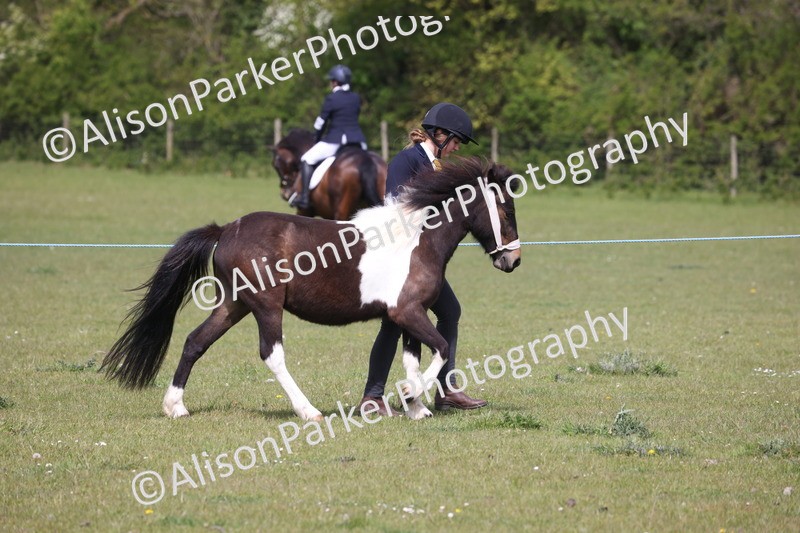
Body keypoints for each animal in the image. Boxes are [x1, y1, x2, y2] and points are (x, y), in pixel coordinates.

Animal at [101, 157, 521, 421]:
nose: (513, 260)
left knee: (194, 341)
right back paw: (309, 412)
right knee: (272, 355)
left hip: (234, 304)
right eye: (505, 210)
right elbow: (441, 348)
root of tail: (226, 230)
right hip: (266, 307)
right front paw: (410, 396)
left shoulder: (405, 316)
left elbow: (413, 358)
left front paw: (415, 406)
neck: (417, 239)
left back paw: (175, 407)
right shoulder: (408, 312)